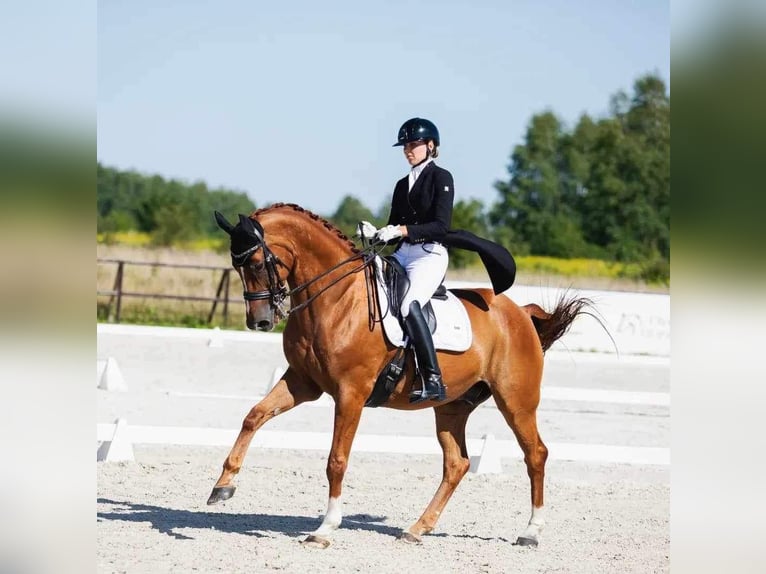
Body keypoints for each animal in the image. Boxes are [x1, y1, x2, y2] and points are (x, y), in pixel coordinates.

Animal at [207, 202, 592, 548]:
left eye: (258, 263)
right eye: (236, 265)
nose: (259, 322)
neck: (337, 299)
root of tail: (521, 312)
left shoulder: (351, 393)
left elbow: (336, 459)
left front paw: (325, 529)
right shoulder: (303, 382)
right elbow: (254, 416)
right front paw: (223, 485)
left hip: (516, 400)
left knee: (535, 454)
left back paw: (530, 532)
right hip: (452, 407)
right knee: (457, 463)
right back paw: (417, 528)